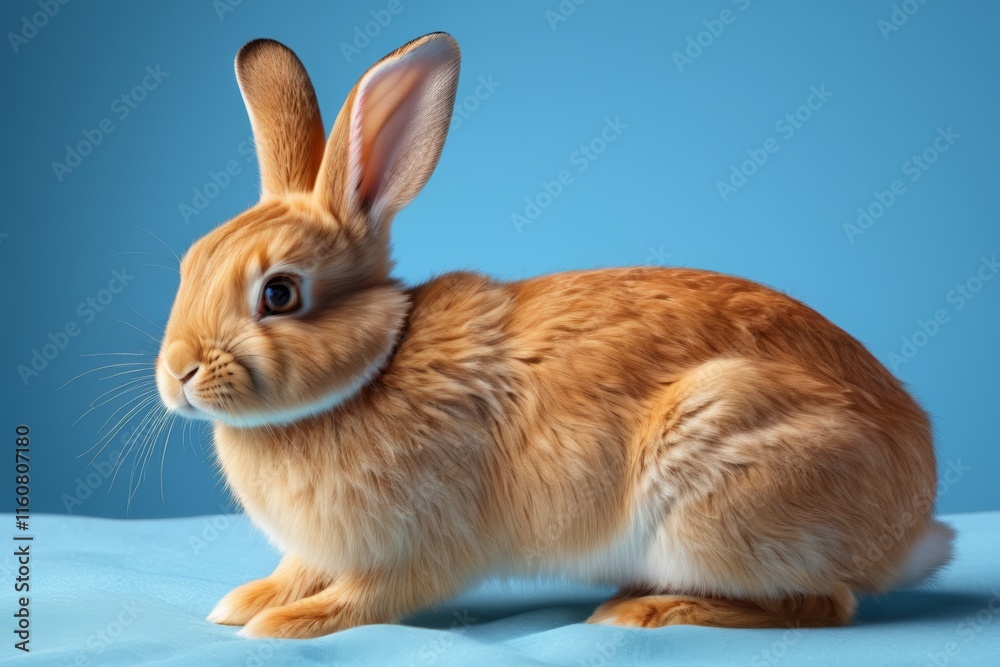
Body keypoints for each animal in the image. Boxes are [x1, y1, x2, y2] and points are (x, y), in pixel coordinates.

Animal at [155, 32, 954, 639]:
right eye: (189, 263)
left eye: (280, 293)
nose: (177, 374)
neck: (372, 369)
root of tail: (911, 521)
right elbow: (298, 571)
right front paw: (247, 601)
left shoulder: (415, 547)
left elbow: (369, 597)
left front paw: (285, 625)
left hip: (719, 486)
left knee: (825, 603)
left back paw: (645, 610)